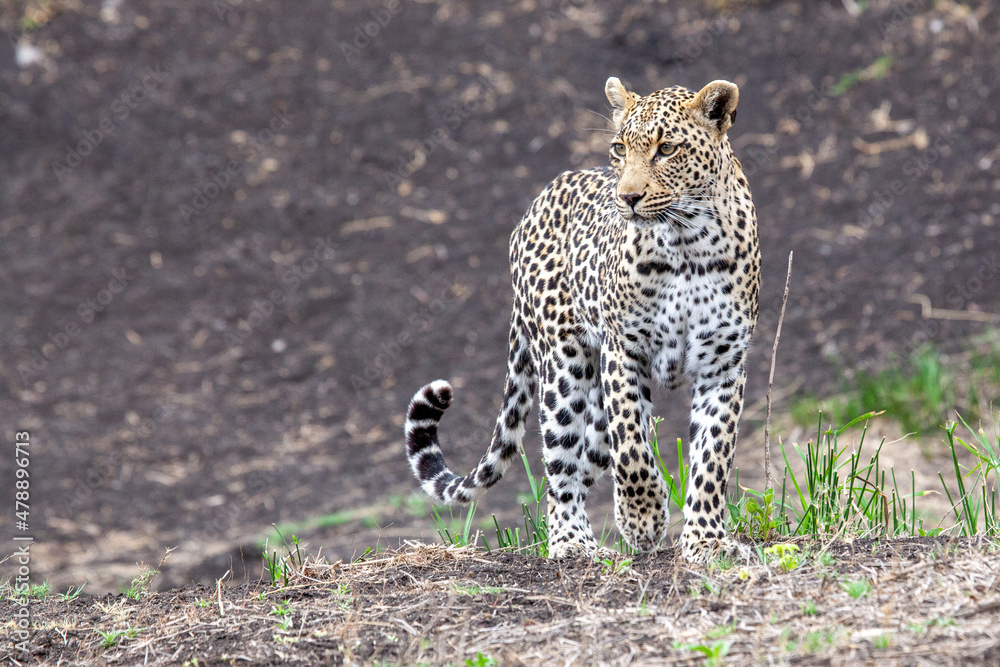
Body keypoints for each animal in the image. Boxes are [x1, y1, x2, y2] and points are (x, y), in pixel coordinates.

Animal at [404, 76, 760, 563]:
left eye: (667, 149)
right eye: (619, 149)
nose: (628, 198)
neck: (687, 244)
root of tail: (537, 202)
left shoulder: (723, 364)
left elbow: (713, 459)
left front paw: (706, 541)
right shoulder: (623, 352)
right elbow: (632, 446)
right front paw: (644, 518)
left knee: (583, 458)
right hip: (565, 368)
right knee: (559, 468)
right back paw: (572, 544)